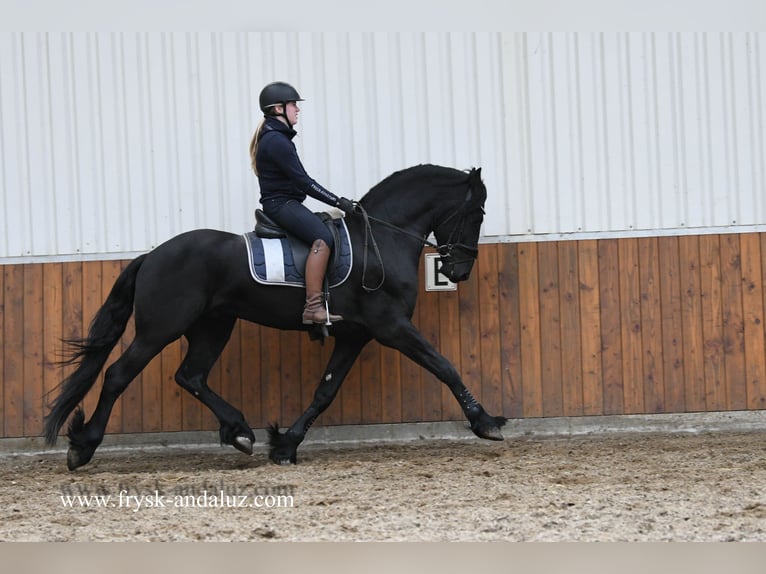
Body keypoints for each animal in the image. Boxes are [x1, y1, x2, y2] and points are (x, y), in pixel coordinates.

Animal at [45, 164, 508, 470]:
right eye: (478, 213)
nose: (459, 270)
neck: (381, 239)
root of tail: (152, 256)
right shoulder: (391, 327)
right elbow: (444, 366)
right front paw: (486, 422)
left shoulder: (354, 336)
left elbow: (325, 391)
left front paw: (285, 444)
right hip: (160, 329)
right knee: (117, 375)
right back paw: (83, 447)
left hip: (213, 326)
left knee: (191, 376)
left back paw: (240, 432)